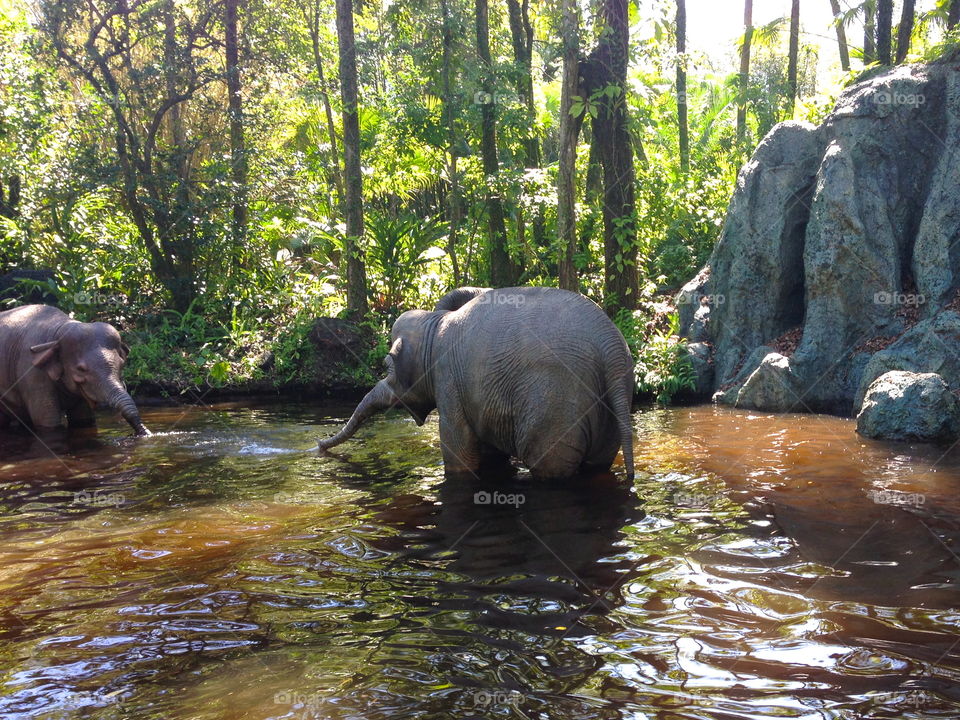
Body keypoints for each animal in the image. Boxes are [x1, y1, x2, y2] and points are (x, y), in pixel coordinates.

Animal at [0, 305, 149, 436]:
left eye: (122, 364)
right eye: (81, 369)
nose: (144, 433)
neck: (58, 330)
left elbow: (83, 420)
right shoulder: (31, 373)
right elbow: (48, 422)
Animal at [318, 287, 635, 480]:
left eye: (386, 366)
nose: (319, 445)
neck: (434, 321)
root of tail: (611, 348)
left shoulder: (448, 380)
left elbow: (459, 451)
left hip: (555, 406)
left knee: (549, 466)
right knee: (597, 465)